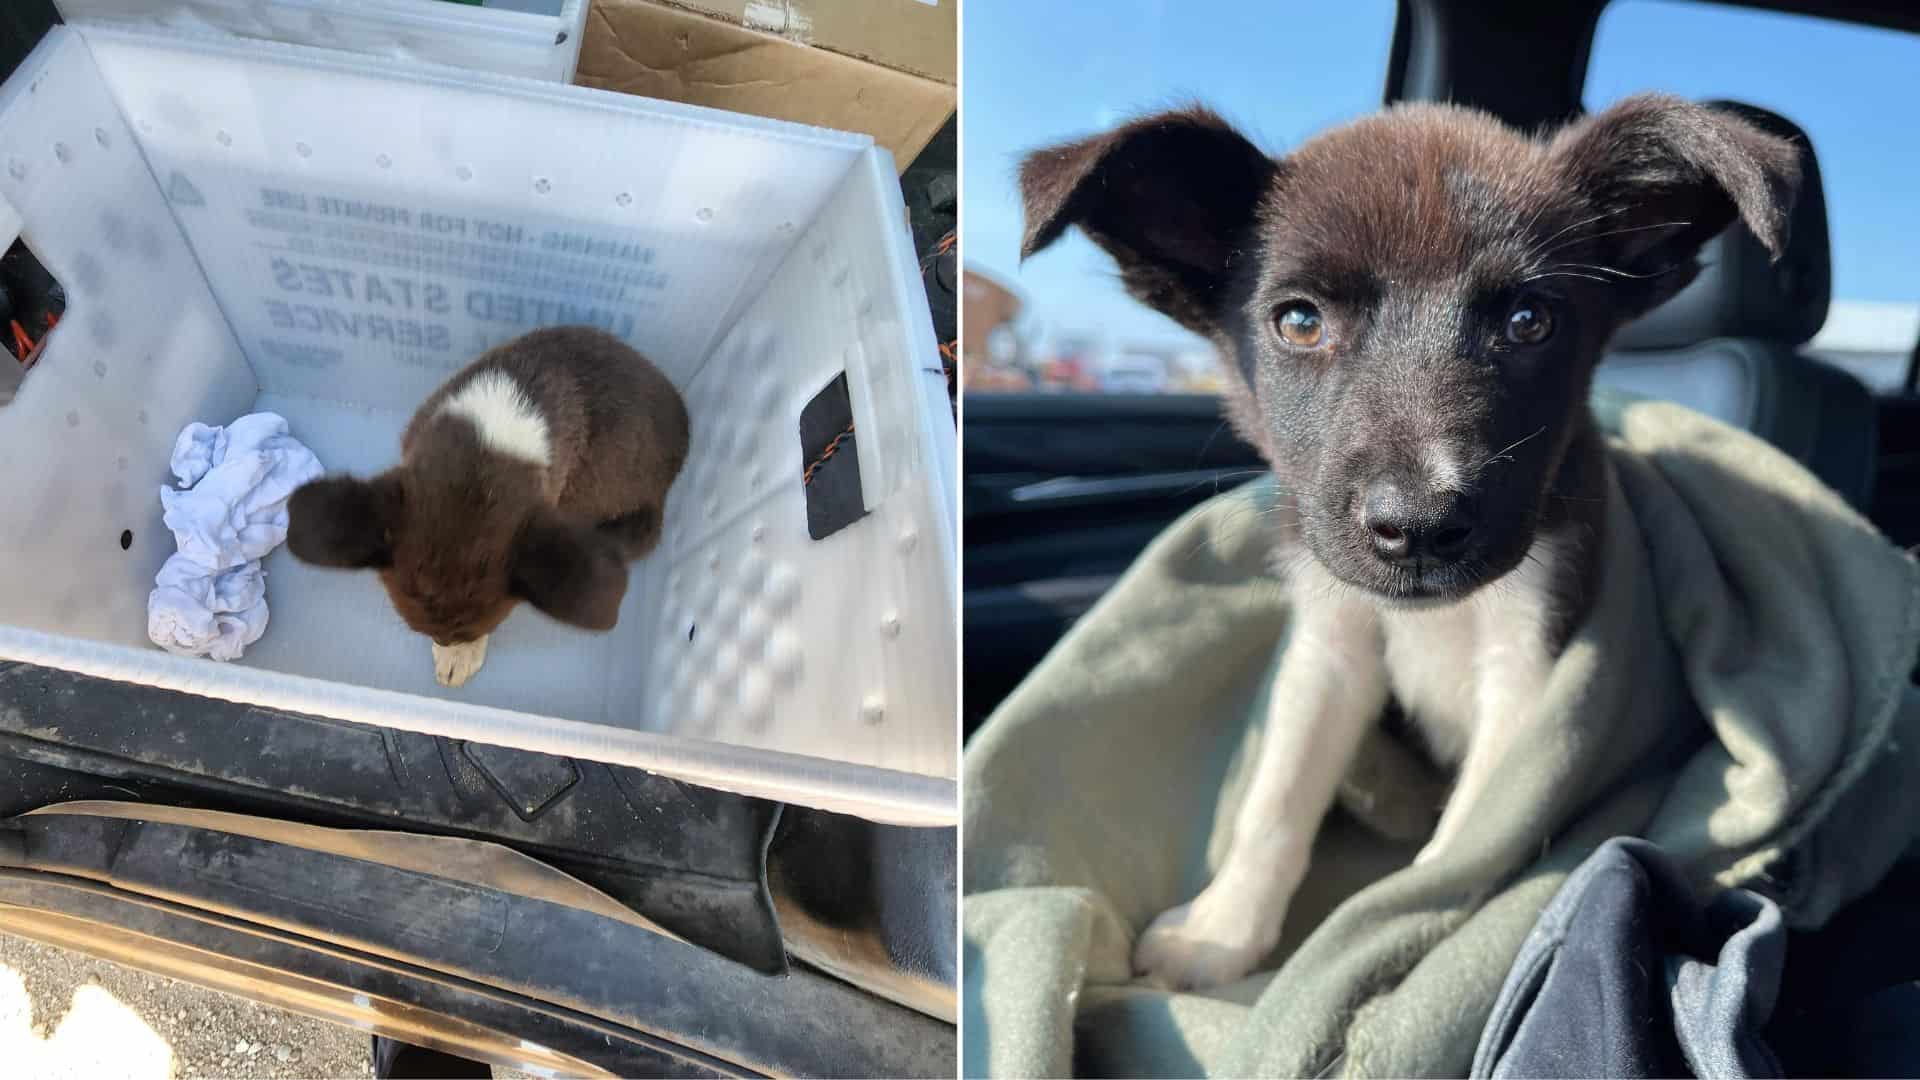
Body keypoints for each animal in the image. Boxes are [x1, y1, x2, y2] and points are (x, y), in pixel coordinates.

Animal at [1021, 96, 1797, 991]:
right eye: (1299, 321)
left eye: (1530, 322)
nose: (1420, 526)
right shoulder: (1331, 647)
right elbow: (1276, 795)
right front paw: (1222, 930)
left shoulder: (1532, 674)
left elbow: (1459, 849)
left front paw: (1382, 948)